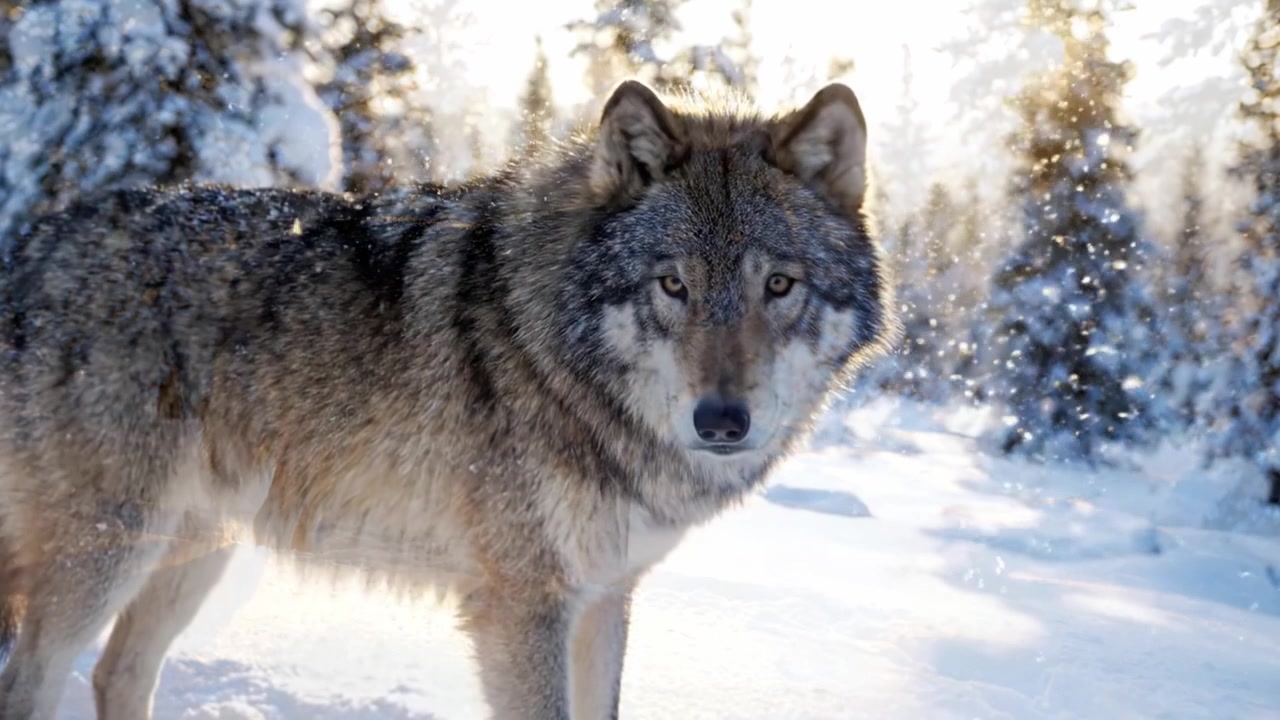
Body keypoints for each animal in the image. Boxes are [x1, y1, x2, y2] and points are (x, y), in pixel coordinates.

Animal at [0, 79, 896, 719]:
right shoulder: (522, 607)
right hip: (106, 553)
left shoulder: (605, 598)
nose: (722, 421)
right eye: (672, 285)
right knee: (33, 680)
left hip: (196, 549)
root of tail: (40, 241)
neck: (557, 353)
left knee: (118, 673)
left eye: (778, 286)